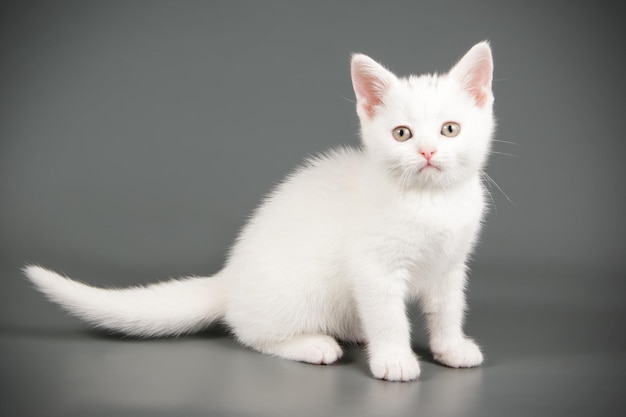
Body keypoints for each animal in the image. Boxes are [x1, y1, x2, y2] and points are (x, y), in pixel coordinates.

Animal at [23, 41, 492, 380]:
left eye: (450, 129)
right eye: (402, 134)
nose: (427, 151)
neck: (431, 202)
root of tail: (229, 280)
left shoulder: (451, 267)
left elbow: (448, 309)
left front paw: (451, 348)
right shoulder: (374, 267)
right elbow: (388, 316)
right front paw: (394, 360)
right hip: (298, 291)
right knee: (250, 333)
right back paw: (314, 344)